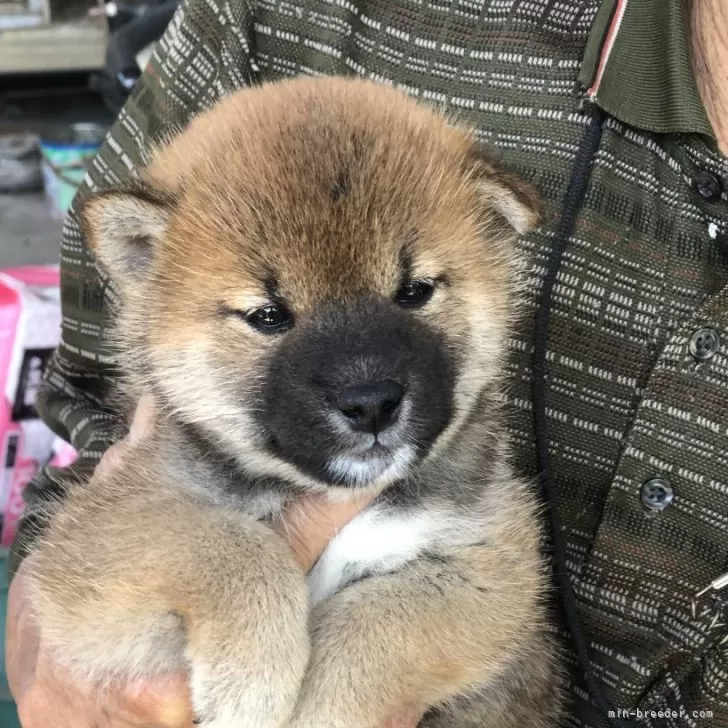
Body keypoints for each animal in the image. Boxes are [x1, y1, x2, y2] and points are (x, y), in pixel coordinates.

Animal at [25, 77, 564, 724]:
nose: (370, 402)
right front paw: (255, 678)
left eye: (414, 292)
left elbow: (379, 622)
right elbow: (231, 542)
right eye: (267, 316)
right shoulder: (92, 550)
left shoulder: (497, 568)